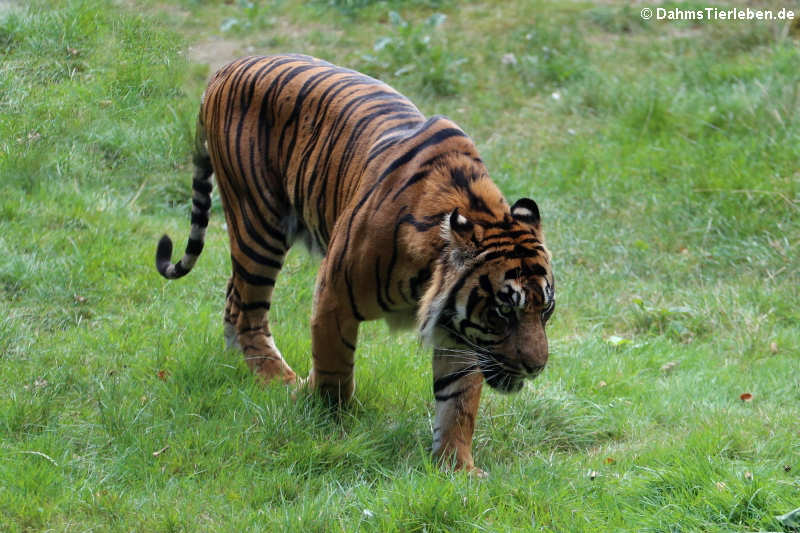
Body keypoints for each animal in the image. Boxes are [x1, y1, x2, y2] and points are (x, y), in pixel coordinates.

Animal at [155, 52, 556, 472]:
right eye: (503, 312)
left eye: (545, 309)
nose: (537, 366)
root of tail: (226, 67)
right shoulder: (334, 294)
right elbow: (335, 367)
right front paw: (327, 421)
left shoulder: (459, 329)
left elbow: (458, 401)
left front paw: (457, 467)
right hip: (258, 223)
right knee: (251, 312)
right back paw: (276, 378)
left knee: (234, 298)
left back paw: (239, 365)